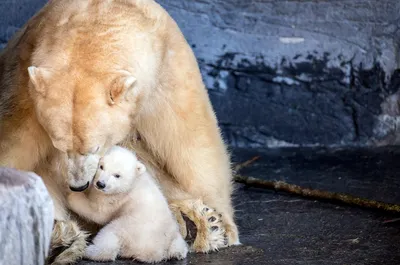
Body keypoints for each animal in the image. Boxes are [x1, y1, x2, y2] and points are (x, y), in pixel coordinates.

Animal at [0, 0, 238, 262]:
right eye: (59, 145)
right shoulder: (22, 89)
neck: (100, 17)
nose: (78, 186)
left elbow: (190, 137)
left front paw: (224, 226)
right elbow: (16, 147)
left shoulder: (166, 68)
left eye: (94, 147)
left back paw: (197, 223)